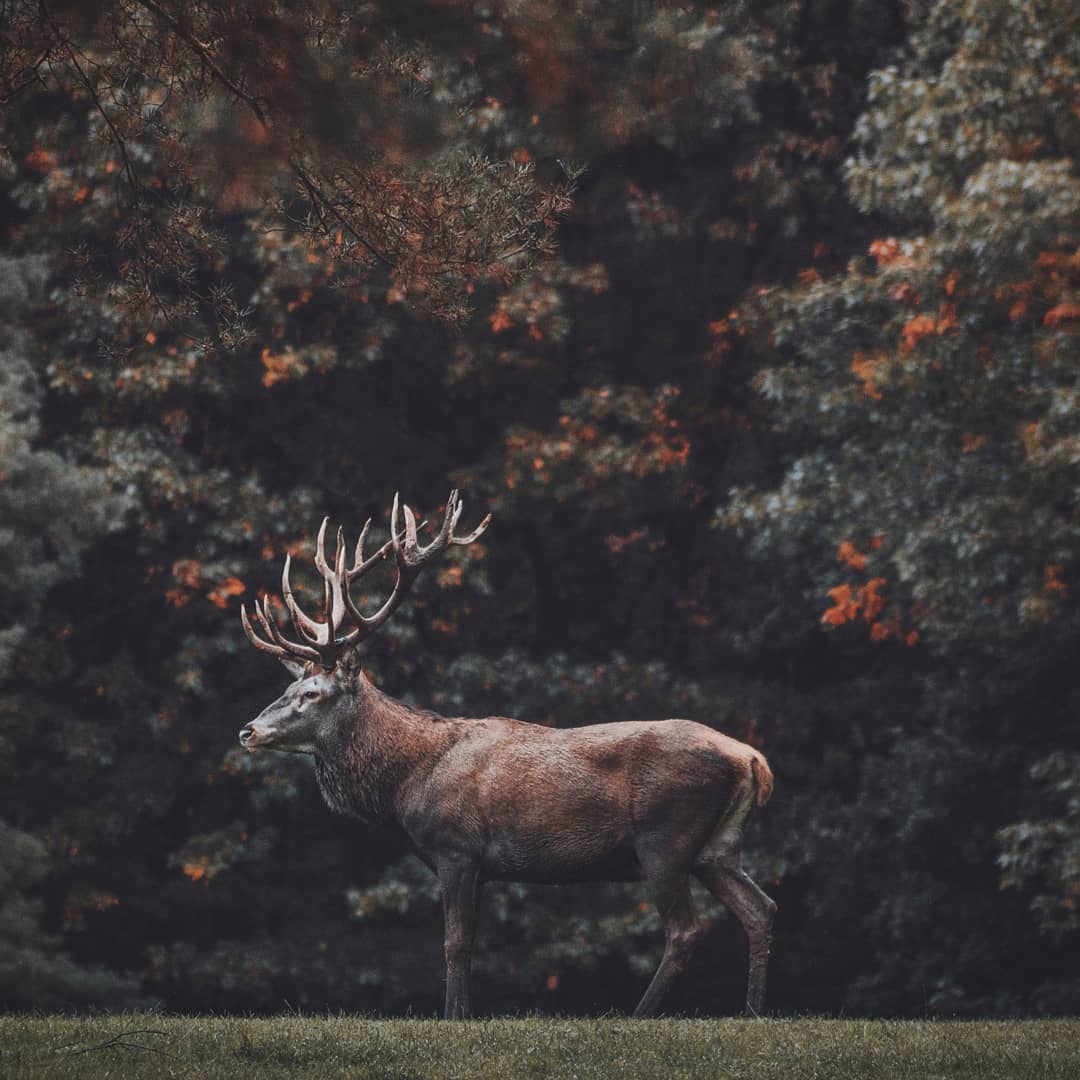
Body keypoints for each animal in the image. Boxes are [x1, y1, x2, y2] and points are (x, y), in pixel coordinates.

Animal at [237, 492, 777, 1019]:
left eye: (311, 693)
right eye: (289, 686)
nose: (248, 730)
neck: (407, 781)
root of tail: (753, 760)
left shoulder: (456, 847)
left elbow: (454, 944)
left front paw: (453, 1019)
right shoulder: (480, 865)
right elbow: (471, 944)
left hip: (666, 837)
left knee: (684, 929)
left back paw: (639, 1014)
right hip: (717, 845)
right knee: (760, 908)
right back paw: (752, 1013)